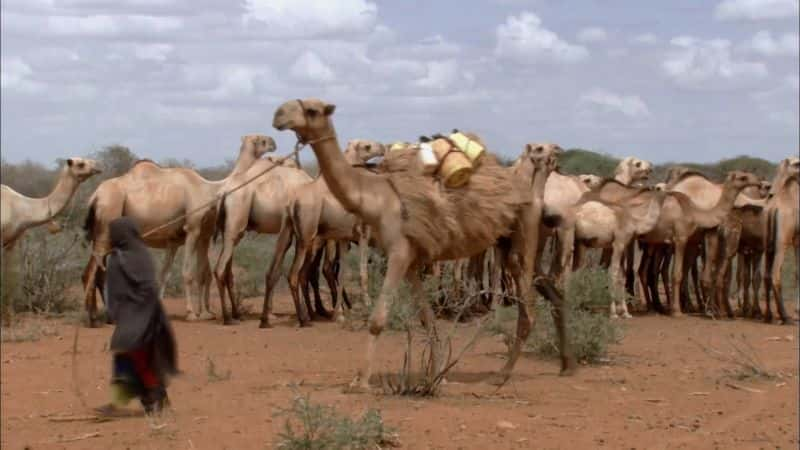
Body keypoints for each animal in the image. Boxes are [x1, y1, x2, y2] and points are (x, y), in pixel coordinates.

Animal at [82, 135, 274, 326]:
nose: (273, 143)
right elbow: (188, 272)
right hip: (107, 220)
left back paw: (106, 317)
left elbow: (175, 273)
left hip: (103, 232)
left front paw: (200, 313)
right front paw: (191, 314)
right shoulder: (193, 229)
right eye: (261, 141)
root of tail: (94, 197)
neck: (209, 190)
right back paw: (93, 319)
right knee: (93, 270)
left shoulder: (182, 238)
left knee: (97, 271)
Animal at [260, 139, 388, 326]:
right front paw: (366, 306)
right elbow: (362, 273)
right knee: (297, 274)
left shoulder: (344, 238)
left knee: (273, 272)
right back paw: (305, 318)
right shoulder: (362, 234)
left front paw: (341, 313)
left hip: (287, 233)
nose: (384, 148)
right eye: (367, 147)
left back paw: (266, 320)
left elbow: (342, 274)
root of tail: (292, 203)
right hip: (307, 237)